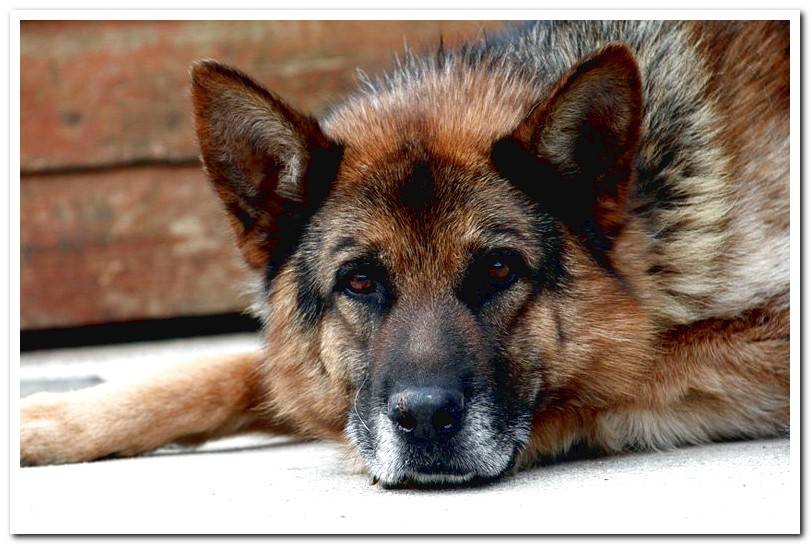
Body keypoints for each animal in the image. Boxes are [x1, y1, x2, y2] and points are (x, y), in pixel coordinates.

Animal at [22, 21, 788, 486]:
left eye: (498, 270)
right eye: (359, 281)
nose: (422, 422)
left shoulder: (762, 335)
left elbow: (614, 372)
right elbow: (234, 371)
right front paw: (59, 420)